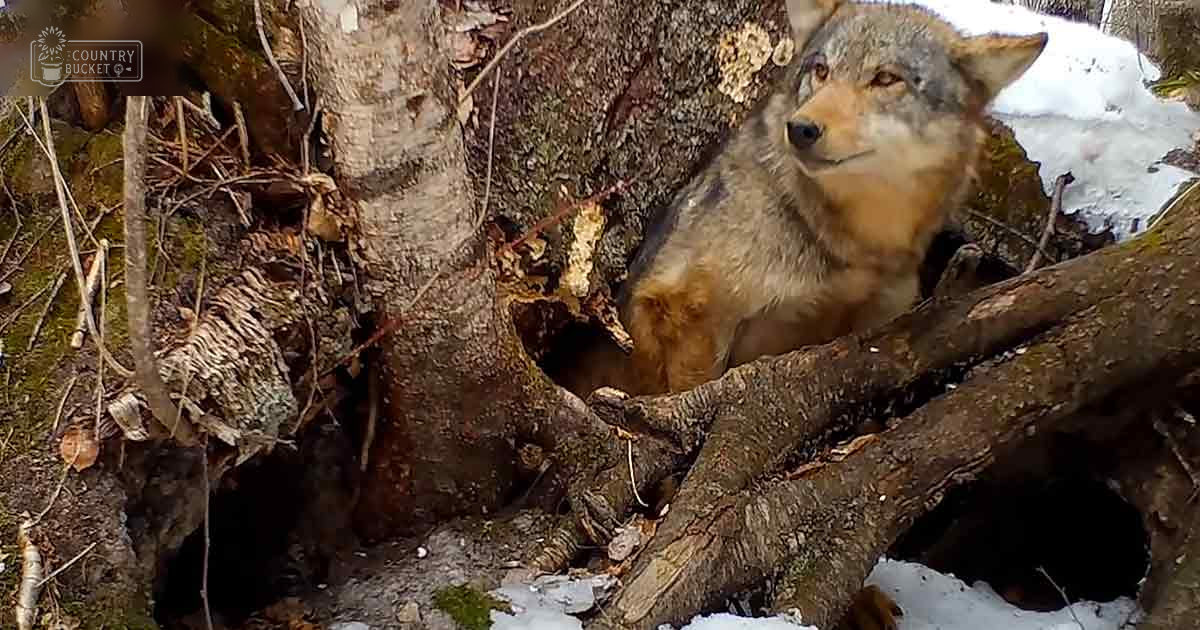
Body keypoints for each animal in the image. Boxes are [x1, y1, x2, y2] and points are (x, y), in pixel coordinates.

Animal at [559, 1, 1046, 627]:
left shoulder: (860, 346)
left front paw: (855, 595)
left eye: (885, 78)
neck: (846, 244)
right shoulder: (695, 312)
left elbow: (845, 461)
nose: (803, 128)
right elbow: (685, 437)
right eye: (820, 69)